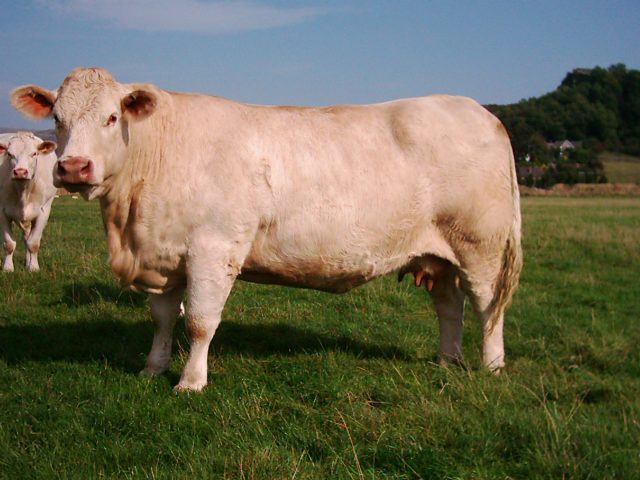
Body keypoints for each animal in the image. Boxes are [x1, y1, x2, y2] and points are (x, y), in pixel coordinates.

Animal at [0, 133, 57, 272]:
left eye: (34, 153)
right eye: (9, 154)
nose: (20, 172)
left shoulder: (43, 211)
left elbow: (33, 243)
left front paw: (33, 267)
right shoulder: (2, 212)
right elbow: (9, 244)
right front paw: (8, 268)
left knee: (27, 238)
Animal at [10, 66, 524, 390]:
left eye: (112, 117)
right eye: (57, 118)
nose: (73, 167)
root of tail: (482, 112)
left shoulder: (213, 249)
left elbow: (199, 321)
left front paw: (190, 382)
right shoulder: (162, 252)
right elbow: (161, 320)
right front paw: (152, 370)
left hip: (479, 246)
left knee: (487, 308)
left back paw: (492, 367)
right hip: (439, 255)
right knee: (450, 307)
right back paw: (447, 360)